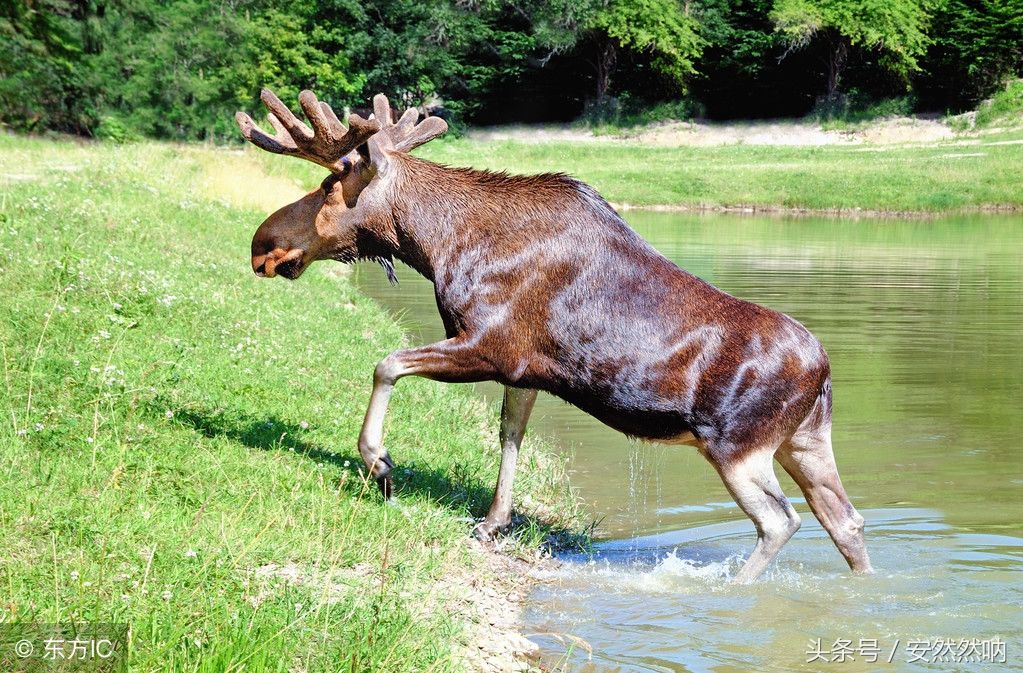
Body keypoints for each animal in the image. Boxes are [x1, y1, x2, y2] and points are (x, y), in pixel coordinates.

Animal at [237, 88, 871, 580]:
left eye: (329, 185)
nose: (261, 244)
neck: (435, 245)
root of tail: (824, 372)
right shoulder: (525, 371)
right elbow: (510, 436)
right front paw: (491, 524)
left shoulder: (489, 344)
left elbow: (386, 363)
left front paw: (380, 464)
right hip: (805, 441)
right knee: (845, 520)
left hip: (739, 447)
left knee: (780, 521)